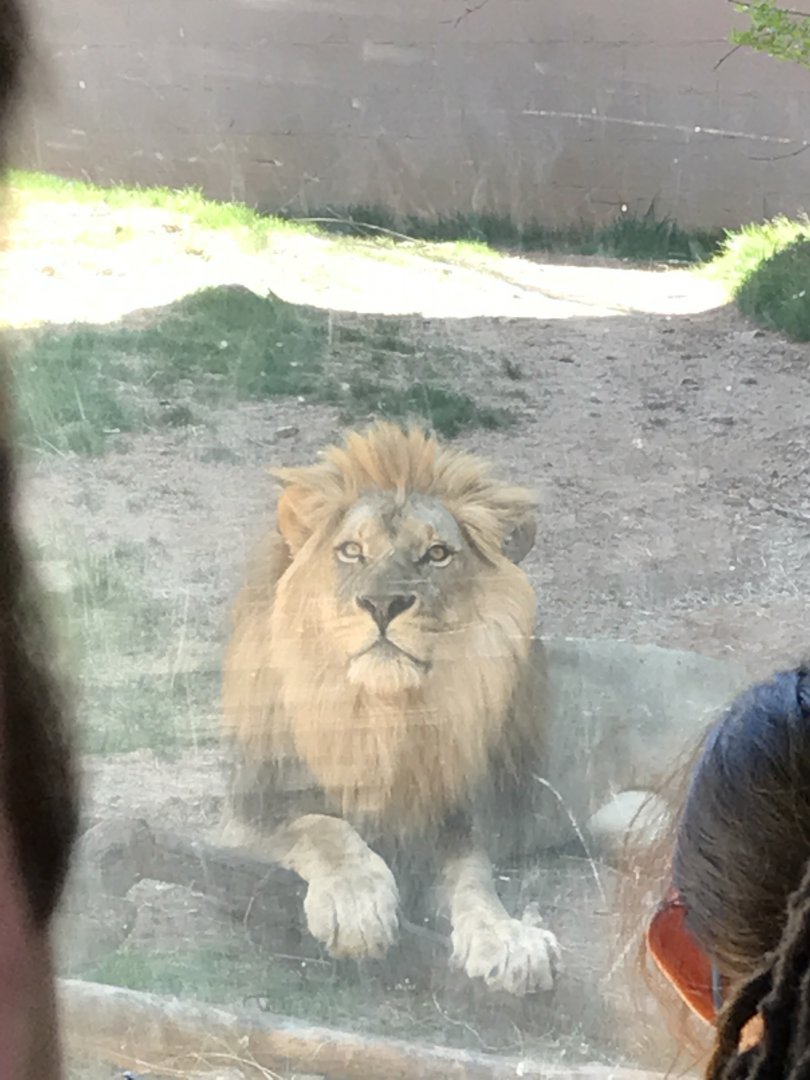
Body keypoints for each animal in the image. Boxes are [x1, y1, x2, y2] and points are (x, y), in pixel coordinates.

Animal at [221, 421, 561, 996]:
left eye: (438, 554)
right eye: (351, 551)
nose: (383, 604)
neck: (381, 717)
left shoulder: (451, 819)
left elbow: (474, 877)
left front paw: (508, 939)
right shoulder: (242, 816)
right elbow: (319, 826)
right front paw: (357, 903)